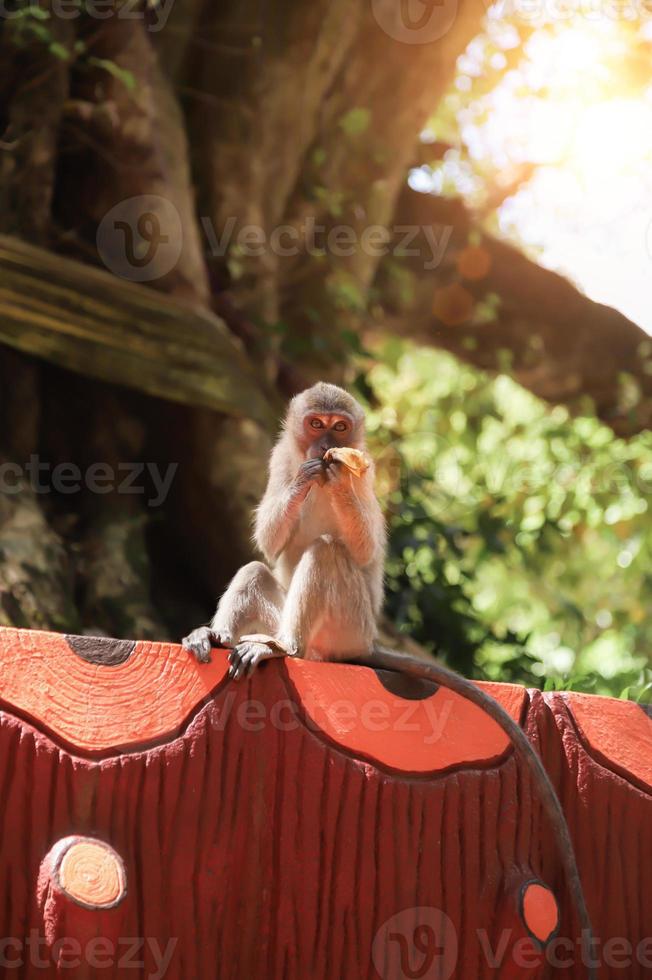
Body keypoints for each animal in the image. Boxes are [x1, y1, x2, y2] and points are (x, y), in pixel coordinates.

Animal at [182, 382, 388, 680]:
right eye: (316, 423)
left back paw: (286, 647)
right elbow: (268, 543)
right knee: (255, 571)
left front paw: (339, 479)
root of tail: (368, 645)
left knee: (326, 550)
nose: (326, 446)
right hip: (278, 619)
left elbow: (366, 551)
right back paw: (216, 637)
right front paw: (303, 478)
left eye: (339, 427)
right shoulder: (279, 457)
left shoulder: (365, 474)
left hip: (350, 631)